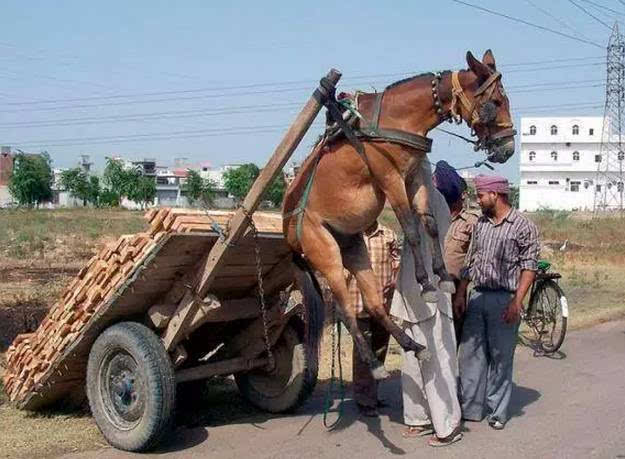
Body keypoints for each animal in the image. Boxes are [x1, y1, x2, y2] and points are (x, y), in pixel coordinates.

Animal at [286, 50, 516, 380]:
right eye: (495, 102)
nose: (508, 148)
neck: (397, 119)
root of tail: (289, 233)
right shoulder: (390, 178)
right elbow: (410, 227)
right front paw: (427, 284)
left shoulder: (414, 176)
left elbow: (429, 224)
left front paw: (443, 276)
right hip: (325, 253)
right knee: (344, 309)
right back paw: (373, 363)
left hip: (353, 248)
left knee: (373, 303)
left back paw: (413, 346)